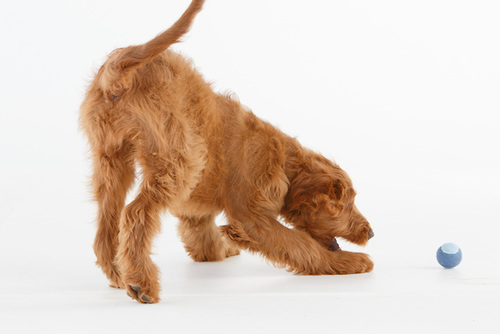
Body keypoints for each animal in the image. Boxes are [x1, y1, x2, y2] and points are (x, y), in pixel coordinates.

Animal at [79, 0, 376, 304]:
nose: (371, 232)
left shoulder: (196, 209)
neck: (284, 158)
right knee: (134, 213)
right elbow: (301, 244)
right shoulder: (253, 217)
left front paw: (220, 248)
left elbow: (202, 234)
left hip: (110, 161)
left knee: (107, 223)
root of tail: (121, 63)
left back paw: (118, 273)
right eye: (346, 206)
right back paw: (141, 282)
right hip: (179, 161)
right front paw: (349, 262)